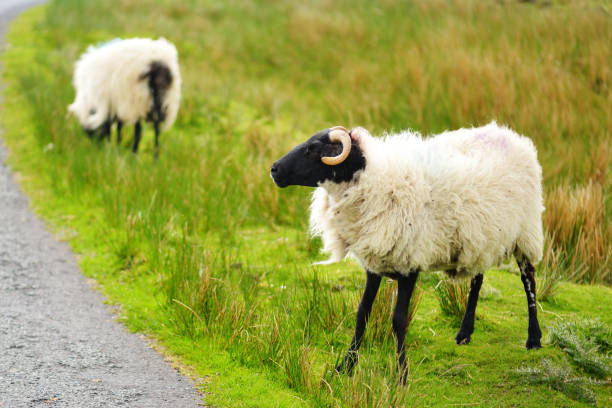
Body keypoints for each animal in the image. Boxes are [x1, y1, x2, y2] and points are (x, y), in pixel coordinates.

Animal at [272, 122, 544, 382]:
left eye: (313, 149)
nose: (274, 169)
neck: (372, 179)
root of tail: (514, 137)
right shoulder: (374, 263)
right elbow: (362, 314)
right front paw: (346, 366)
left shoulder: (409, 263)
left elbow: (398, 320)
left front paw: (402, 374)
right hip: (481, 237)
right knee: (477, 279)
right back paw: (464, 333)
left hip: (525, 233)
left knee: (528, 280)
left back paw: (534, 338)